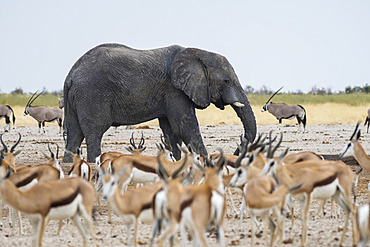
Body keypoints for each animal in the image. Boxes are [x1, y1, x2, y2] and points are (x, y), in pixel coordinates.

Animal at [62, 43, 256, 163]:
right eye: (226, 81)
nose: (235, 153)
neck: (198, 53)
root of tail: (70, 76)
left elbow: (171, 132)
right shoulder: (174, 90)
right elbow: (185, 127)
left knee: (74, 135)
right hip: (92, 96)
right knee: (94, 133)